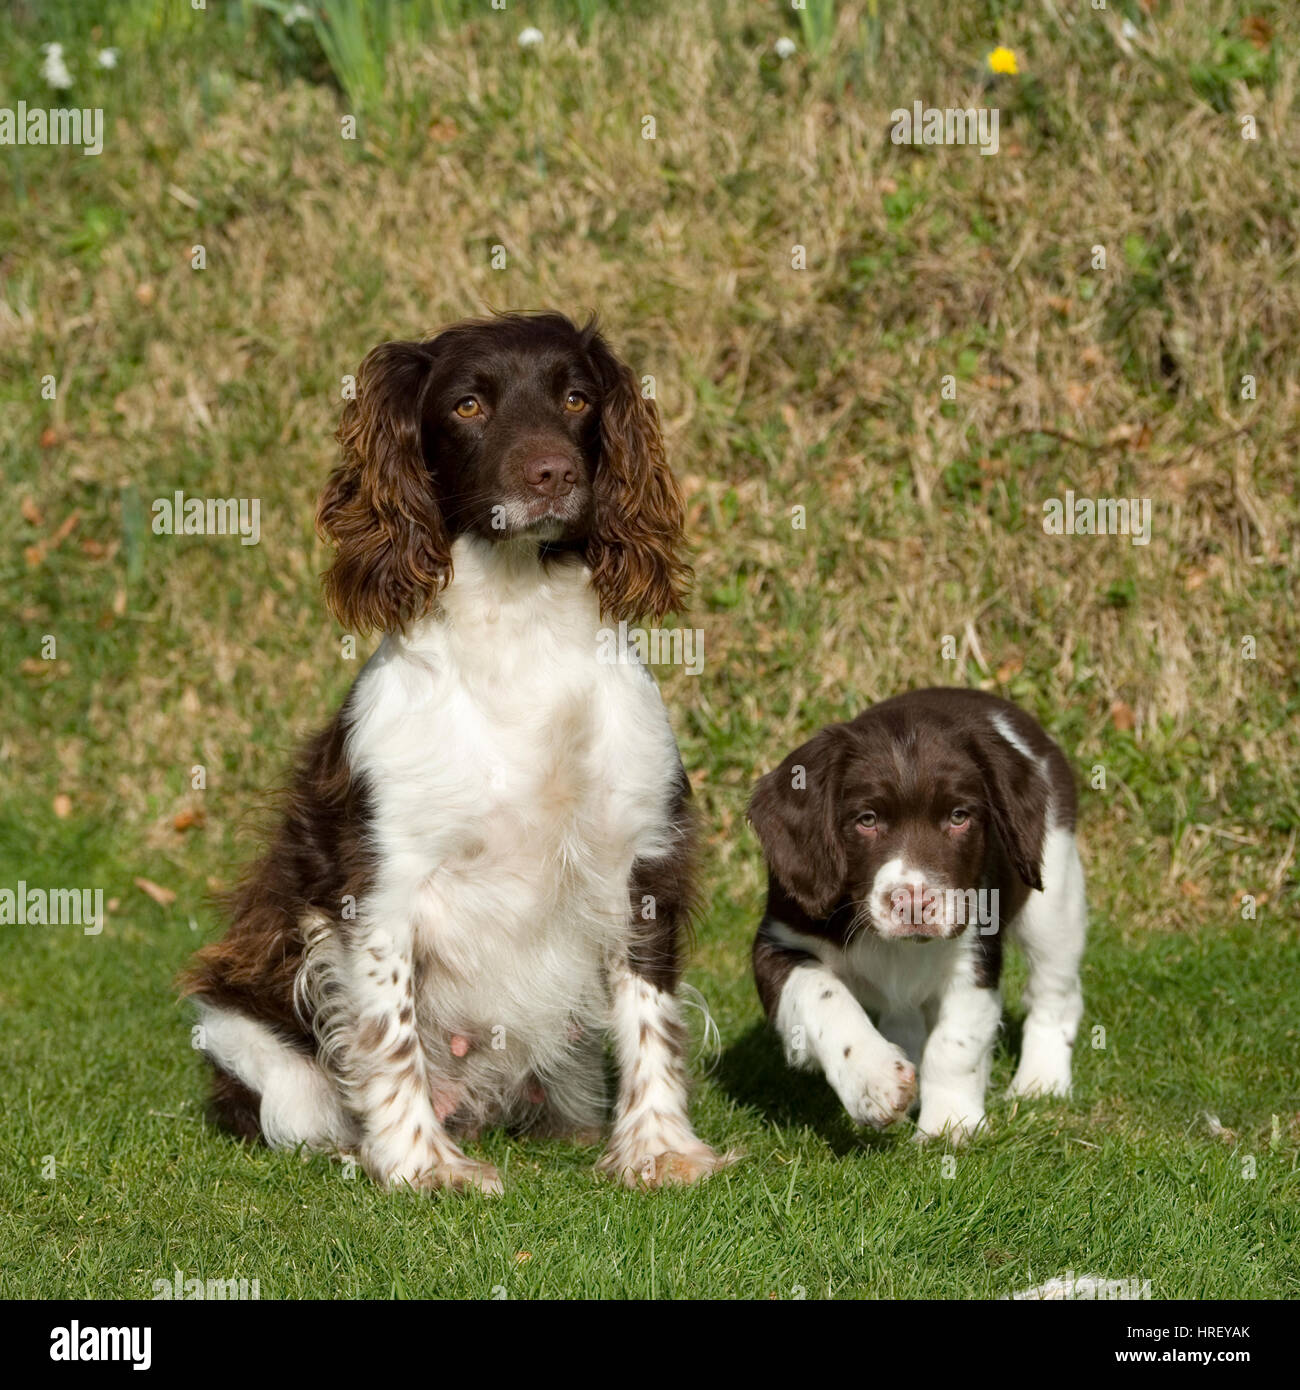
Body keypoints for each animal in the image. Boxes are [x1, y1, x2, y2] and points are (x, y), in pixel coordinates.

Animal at [180, 315, 734, 1195]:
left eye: (577, 397)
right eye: (468, 404)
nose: (553, 472)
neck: (518, 630)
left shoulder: (640, 856)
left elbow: (650, 1018)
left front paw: (659, 1149)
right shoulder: (380, 882)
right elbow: (390, 1032)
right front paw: (420, 1165)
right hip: (256, 1047)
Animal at [750, 692, 1090, 1139]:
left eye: (959, 817)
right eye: (867, 820)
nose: (913, 903)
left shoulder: (973, 956)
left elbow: (955, 1044)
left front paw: (950, 1124)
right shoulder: (778, 942)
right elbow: (823, 996)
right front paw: (875, 1081)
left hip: (1054, 901)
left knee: (1055, 993)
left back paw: (1041, 1080)